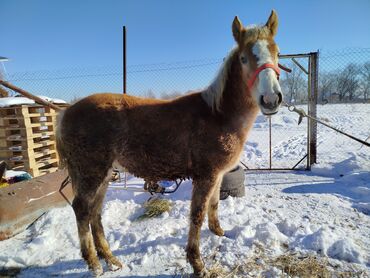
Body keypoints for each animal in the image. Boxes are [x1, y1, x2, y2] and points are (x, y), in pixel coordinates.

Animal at [57, 9, 284, 276]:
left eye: (277, 53)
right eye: (244, 58)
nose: (271, 99)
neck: (217, 114)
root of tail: (66, 112)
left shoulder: (218, 175)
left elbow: (214, 205)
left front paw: (218, 232)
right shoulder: (205, 175)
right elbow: (197, 215)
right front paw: (197, 263)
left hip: (103, 175)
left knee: (95, 211)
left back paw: (110, 259)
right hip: (91, 173)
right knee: (82, 209)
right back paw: (94, 263)